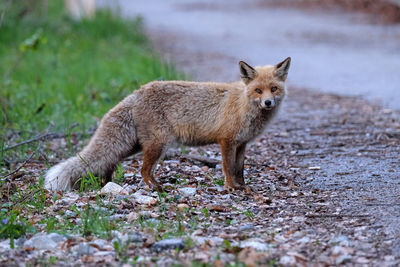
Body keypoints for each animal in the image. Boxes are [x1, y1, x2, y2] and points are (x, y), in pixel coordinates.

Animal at [45, 57, 290, 193]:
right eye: (258, 90)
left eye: (273, 89)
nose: (268, 102)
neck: (243, 105)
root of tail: (136, 92)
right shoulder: (226, 141)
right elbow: (228, 168)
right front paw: (231, 187)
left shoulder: (242, 143)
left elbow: (239, 169)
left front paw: (241, 186)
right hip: (158, 144)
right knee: (143, 169)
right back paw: (156, 188)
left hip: (136, 145)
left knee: (111, 160)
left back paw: (108, 182)